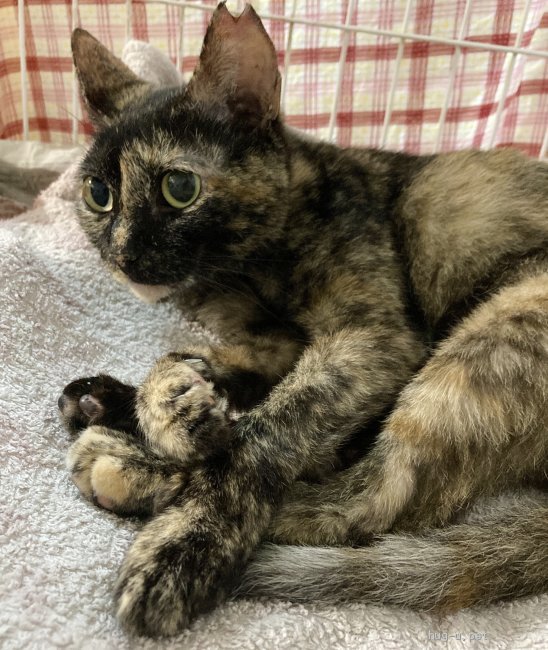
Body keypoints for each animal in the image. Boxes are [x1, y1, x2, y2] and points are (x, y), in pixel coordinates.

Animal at [58, 2, 548, 638]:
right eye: (98, 194)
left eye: (179, 187)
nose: (122, 254)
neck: (242, 273)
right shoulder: (279, 345)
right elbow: (188, 362)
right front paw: (157, 401)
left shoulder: (374, 338)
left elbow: (266, 432)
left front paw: (185, 542)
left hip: (495, 331)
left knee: (374, 501)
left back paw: (126, 466)